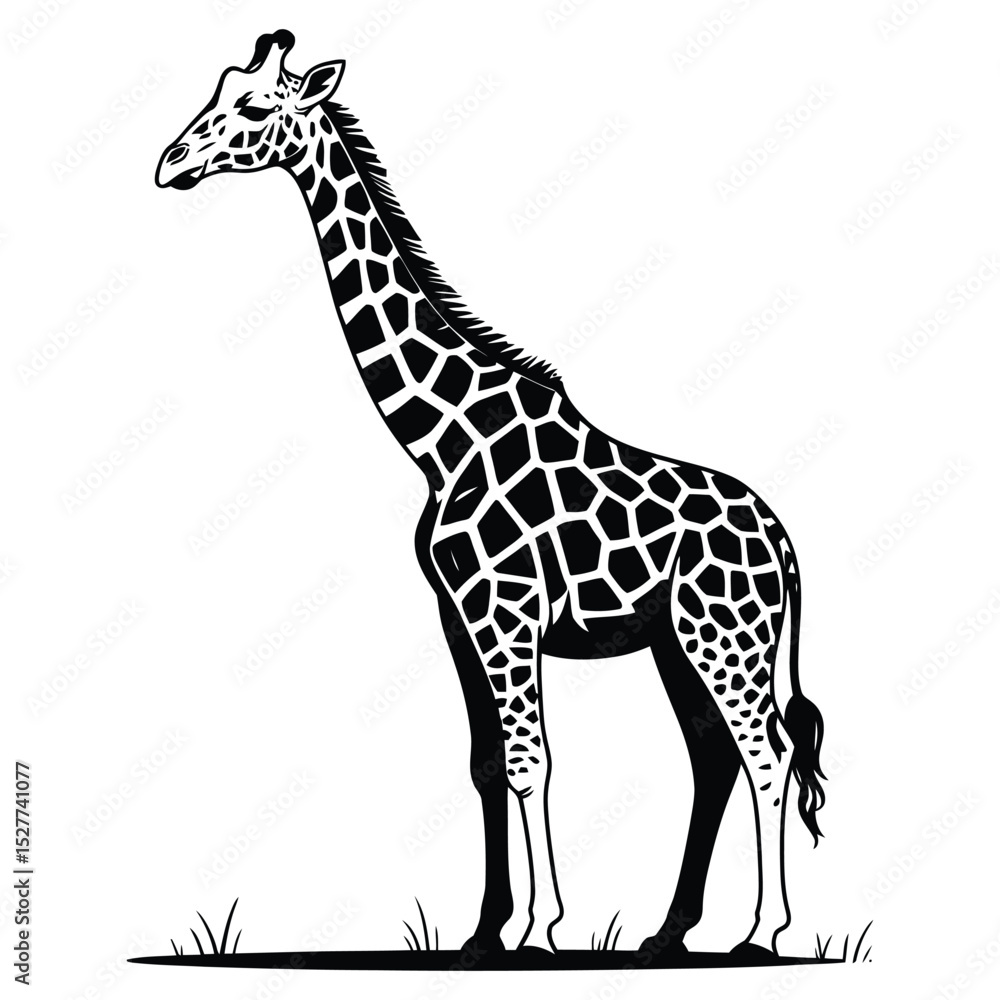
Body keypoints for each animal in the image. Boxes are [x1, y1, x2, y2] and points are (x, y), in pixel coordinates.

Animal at [156, 31, 827, 961]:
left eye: (253, 108)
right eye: (215, 93)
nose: (169, 164)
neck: (443, 440)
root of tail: (786, 545)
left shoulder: (506, 614)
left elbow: (528, 760)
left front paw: (543, 929)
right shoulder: (457, 614)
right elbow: (484, 765)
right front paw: (484, 932)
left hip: (726, 635)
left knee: (765, 752)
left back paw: (762, 932)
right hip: (679, 640)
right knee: (714, 756)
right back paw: (668, 933)